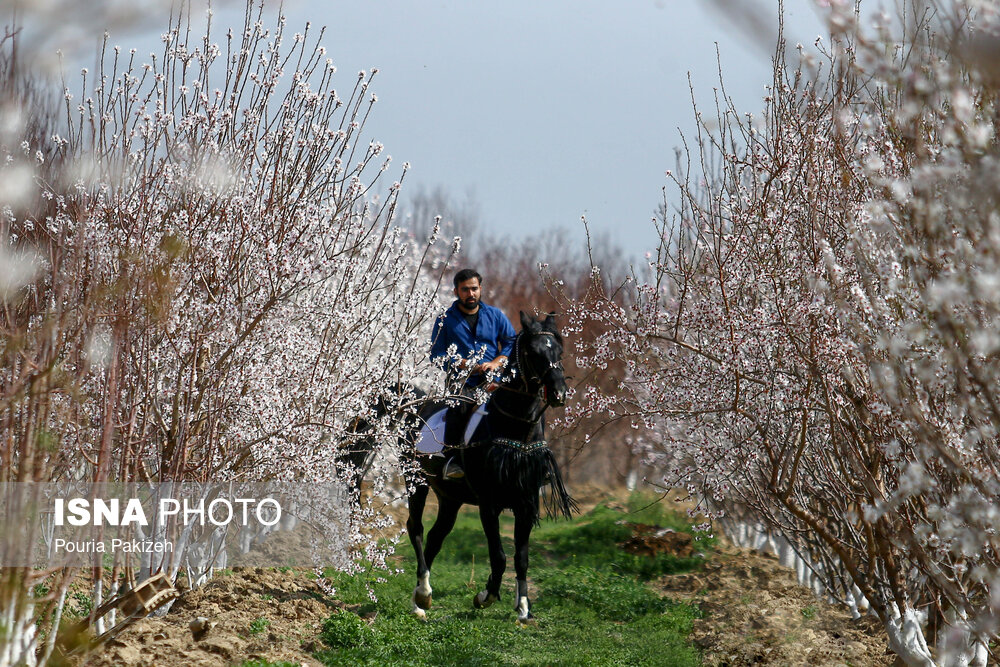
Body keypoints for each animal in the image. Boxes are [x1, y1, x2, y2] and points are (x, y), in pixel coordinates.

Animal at [406, 314, 576, 628]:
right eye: (533, 352)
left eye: (559, 351)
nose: (559, 393)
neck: (516, 428)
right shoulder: (489, 504)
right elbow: (499, 556)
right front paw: (486, 596)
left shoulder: (526, 503)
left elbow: (522, 558)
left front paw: (524, 608)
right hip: (416, 480)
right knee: (417, 530)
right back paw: (420, 598)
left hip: (450, 498)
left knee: (436, 536)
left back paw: (424, 596)